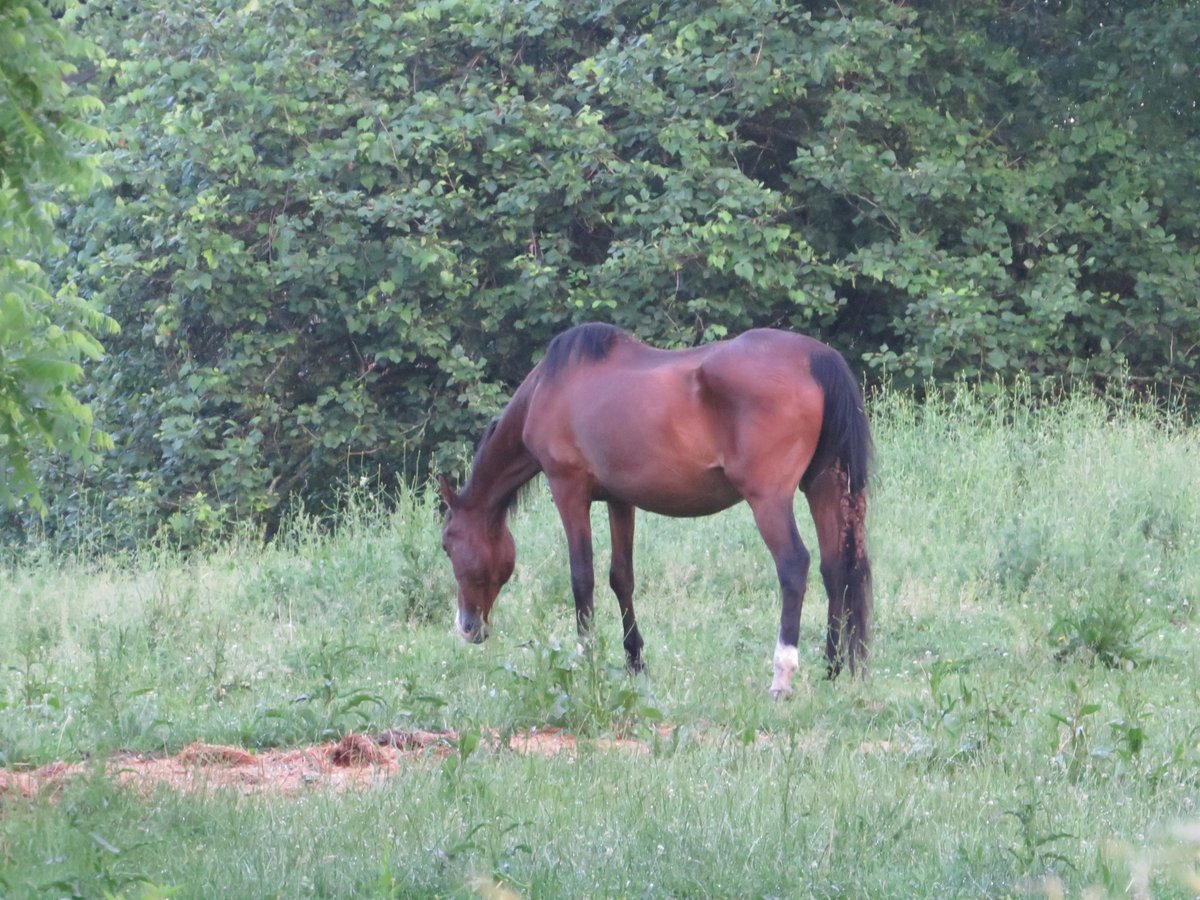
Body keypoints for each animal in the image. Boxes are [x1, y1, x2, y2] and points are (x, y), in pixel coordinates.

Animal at [437, 323, 873, 697]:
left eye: (447, 544)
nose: (467, 627)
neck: (549, 387)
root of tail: (815, 357)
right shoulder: (620, 499)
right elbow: (621, 577)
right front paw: (634, 661)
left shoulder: (568, 490)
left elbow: (582, 577)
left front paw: (584, 657)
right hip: (824, 487)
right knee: (835, 567)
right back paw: (832, 666)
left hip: (769, 499)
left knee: (794, 565)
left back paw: (782, 674)